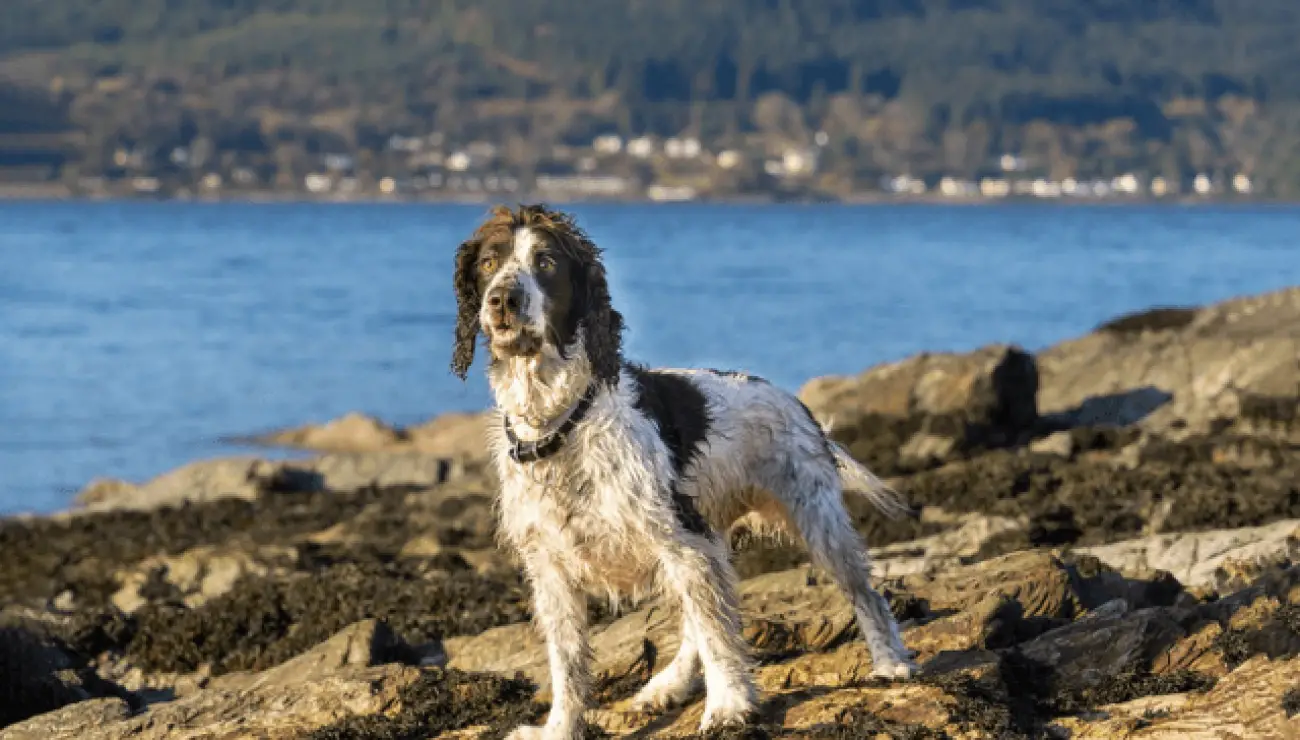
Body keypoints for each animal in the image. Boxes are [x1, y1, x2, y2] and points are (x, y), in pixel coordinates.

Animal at [452, 202, 920, 738]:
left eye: (546, 262)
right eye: (489, 263)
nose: (503, 299)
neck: (562, 422)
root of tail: (796, 401)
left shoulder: (680, 537)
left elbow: (717, 634)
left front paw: (729, 706)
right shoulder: (552, 568)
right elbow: (567, 662)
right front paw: (559, 729)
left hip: (815, 521)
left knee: (865, 594)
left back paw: (890, 662)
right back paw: (668, 684)